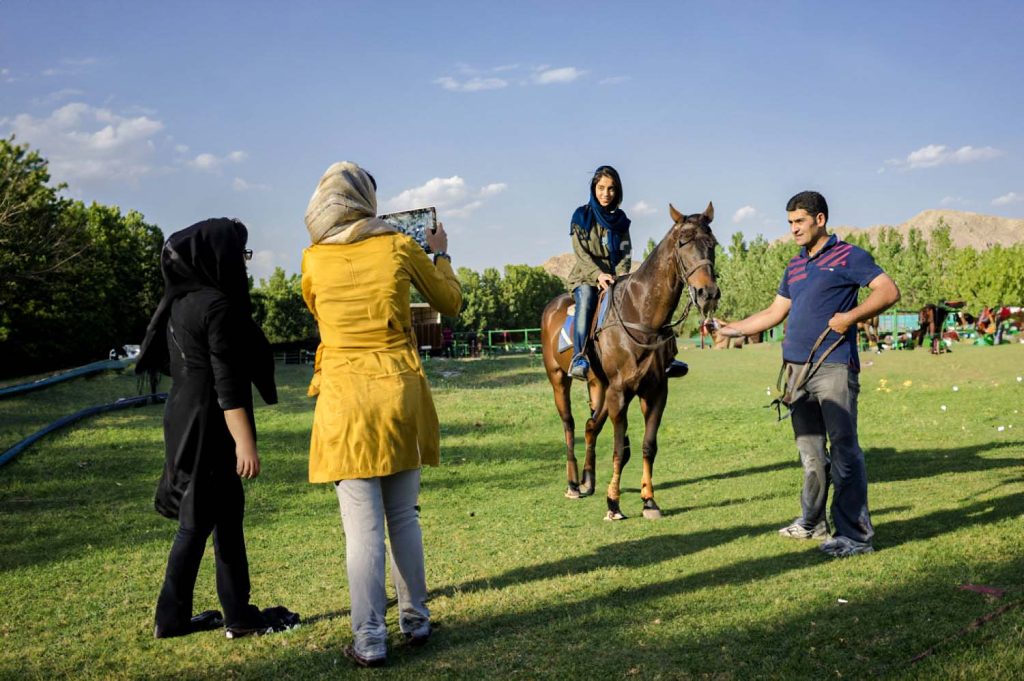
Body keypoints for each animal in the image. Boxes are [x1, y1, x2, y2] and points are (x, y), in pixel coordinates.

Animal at [540, 203, 719, 520]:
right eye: (682, 243)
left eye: (713, 244)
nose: (707, 293)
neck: (641, 313)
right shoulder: (620, 392)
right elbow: (619, 450)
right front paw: (613, 503)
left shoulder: (655, 391)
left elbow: (648, 446)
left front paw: (649, 501)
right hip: (559, 379)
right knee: (570, 424)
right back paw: (573, 484)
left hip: (599, 386)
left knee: (590, 425)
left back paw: (588, 480)